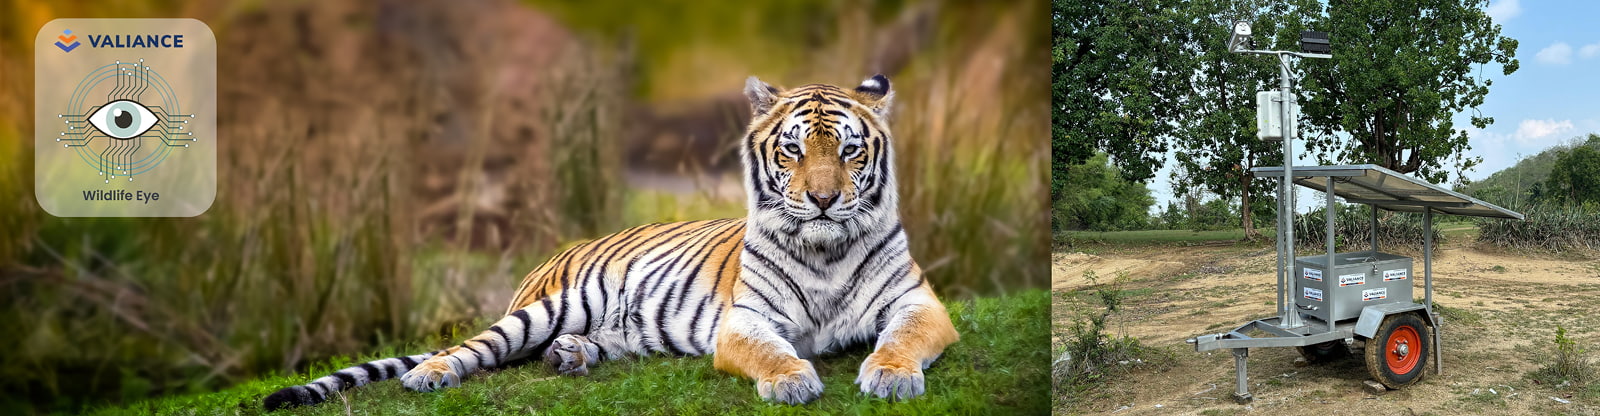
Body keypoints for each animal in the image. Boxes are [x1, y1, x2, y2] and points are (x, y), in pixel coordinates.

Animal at [263, 74, 959, 410]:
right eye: (792, 150)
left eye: (848, 150)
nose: (822, 199)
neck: (826, 249)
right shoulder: (747, 320)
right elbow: (768, 351)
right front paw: (791, 381)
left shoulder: (920, 303)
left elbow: (903, 338)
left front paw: (891, 377)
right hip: (549, 306)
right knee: (475, 348)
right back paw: (430, 375)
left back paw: (571, 356)